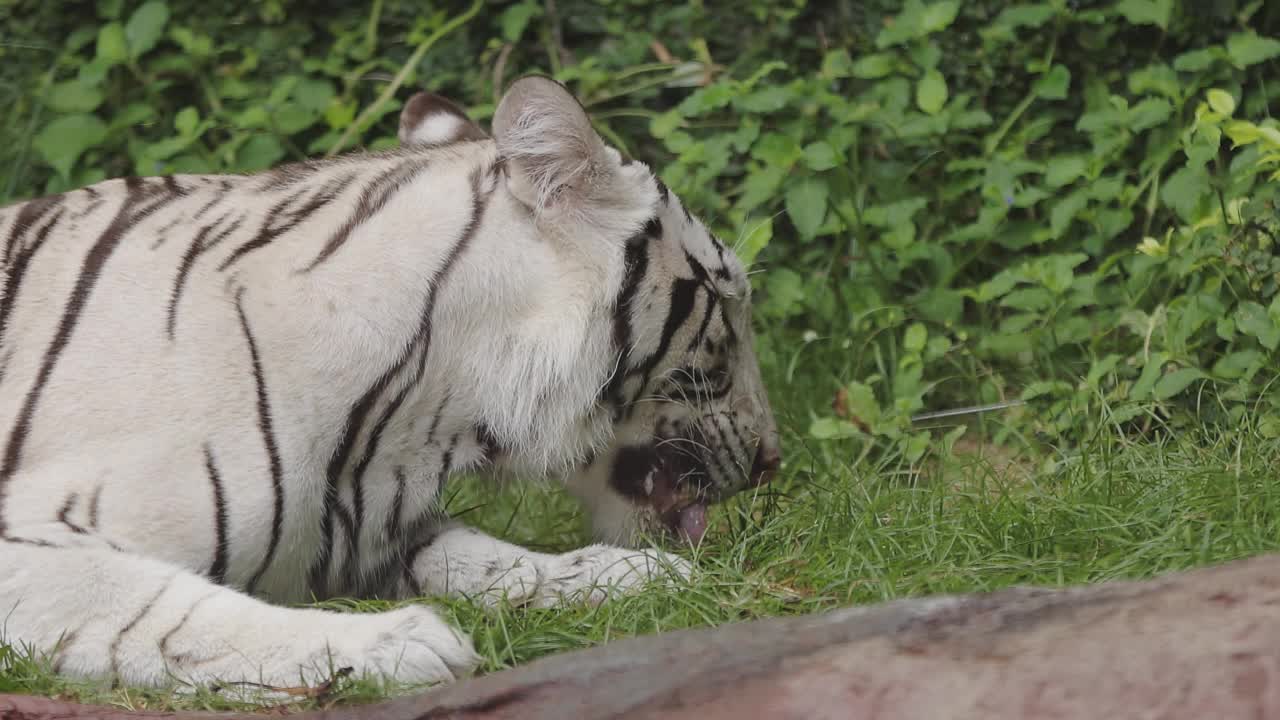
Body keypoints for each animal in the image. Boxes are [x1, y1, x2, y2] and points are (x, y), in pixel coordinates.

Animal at [0, 77, 778, 691]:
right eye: (728, 299)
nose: (773, 460)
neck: (415, 417)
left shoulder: (357, 535)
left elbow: (489, 559)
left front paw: (632, 574)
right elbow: (160, 607)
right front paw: (397, 642)